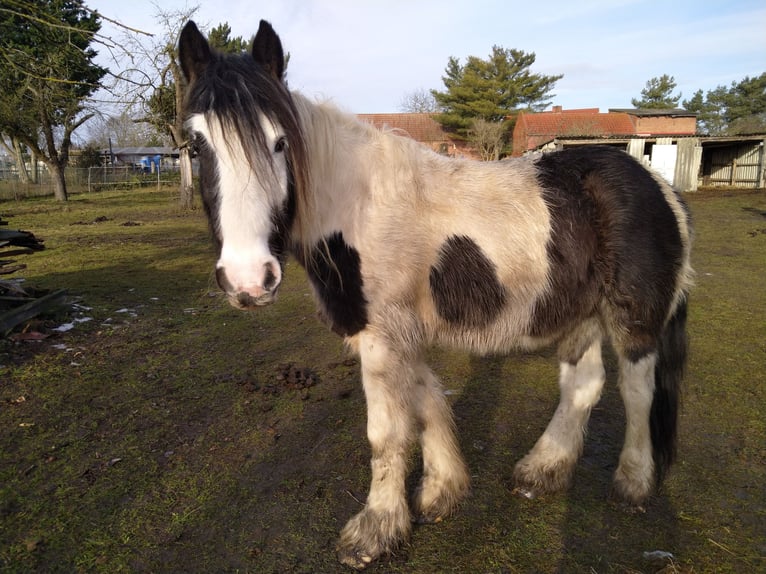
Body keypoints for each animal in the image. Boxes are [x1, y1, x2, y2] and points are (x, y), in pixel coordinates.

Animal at [178, 20, 693, 570]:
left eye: (279, 143)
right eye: (196, 146)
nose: (248, 280)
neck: (355, 206)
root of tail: (660, 185)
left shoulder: (383, 336)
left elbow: (386, 432)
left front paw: (375, 530)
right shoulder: (400, 334)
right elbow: (425, 402)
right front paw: (441, 492)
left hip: (633, 318)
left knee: (637, 389)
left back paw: (633, 482)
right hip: (580, 313)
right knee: (584, 384)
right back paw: (542, 469)